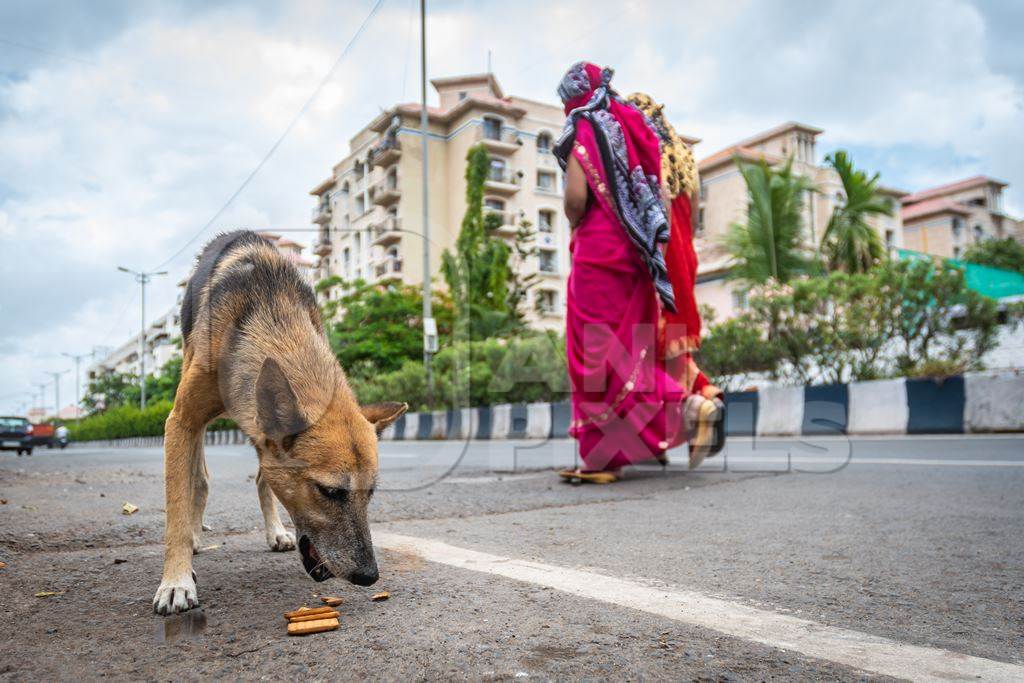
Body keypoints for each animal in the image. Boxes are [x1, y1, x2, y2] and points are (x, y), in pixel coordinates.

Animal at [153, 232, 405, 618]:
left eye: (371, 493)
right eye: (329, 491)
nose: (369, 576)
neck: (273, 319)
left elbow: (263, 481)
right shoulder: (181, 421)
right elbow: (177, 508)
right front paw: (176, 580)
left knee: (259, 479)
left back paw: (275, 530)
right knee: (198, 479)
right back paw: (195, 535)